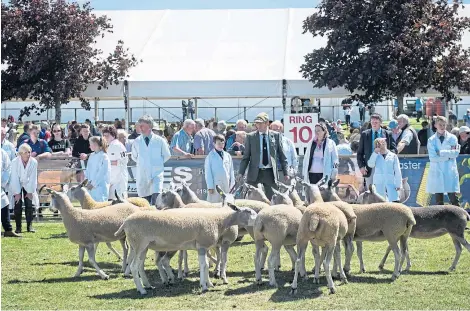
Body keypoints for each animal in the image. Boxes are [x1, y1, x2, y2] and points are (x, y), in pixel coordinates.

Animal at [116, 204, 258, 296]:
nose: (258, 218)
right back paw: (142, 290)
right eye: (248, 211)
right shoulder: (202, 245)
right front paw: (204, 286)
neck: (219, 221)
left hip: (142, 247)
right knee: (134, 266)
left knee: (140, 266)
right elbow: (204, 265)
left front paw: (209, 283)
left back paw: (148, 285)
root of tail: (125, 223)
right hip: (138, 243)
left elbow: (206, 265)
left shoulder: (203, 247)